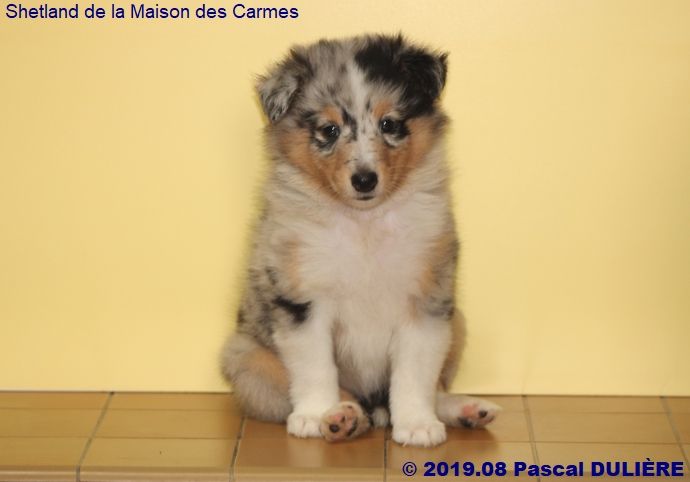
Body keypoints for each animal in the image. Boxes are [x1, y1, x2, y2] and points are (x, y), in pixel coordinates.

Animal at [221, 34, 500, 447]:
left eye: (390, 123)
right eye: (329, 130)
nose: (365, 180)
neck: (363, 222)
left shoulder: (426, 297)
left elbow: (416, 372)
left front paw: (417, 424)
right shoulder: (303, 299)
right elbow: (315, 366)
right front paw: (316, 414)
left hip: (458, 323)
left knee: (436, 387)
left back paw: (466, 410)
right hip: (246, 356)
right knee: (341, 394)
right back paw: (344, 417)